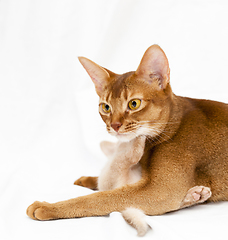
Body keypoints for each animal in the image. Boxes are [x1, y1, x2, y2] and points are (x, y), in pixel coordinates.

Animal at [27, 44, 228, 236]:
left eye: (134, 104)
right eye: (105, 107)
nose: (115, 125)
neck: (175, 123)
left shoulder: (161, 190)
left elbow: (100, 199)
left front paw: (47, 207)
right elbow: (107, 185)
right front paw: (88, 179)